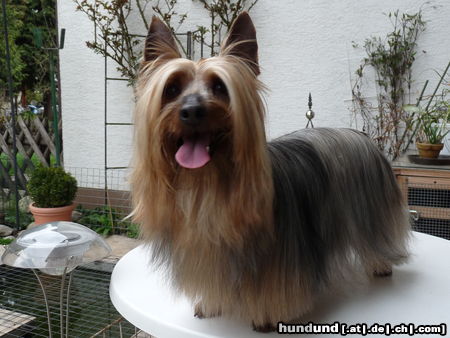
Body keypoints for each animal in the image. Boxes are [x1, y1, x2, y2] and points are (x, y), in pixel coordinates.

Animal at [128, 11, 410, 332]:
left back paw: (381, 264)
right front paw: (211, 304)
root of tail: (358, 133)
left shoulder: (283, 260)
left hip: (371, 212)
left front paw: (266, 316)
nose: (191, 111)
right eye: (172, 89)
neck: (208, 185)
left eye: (220, 87)